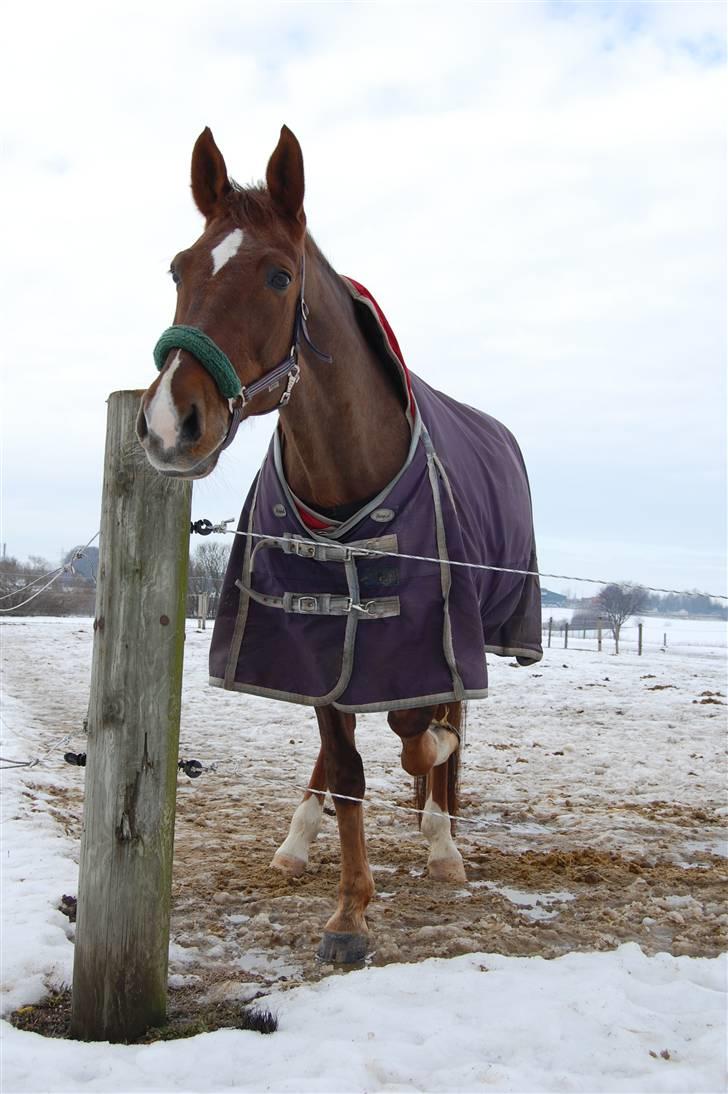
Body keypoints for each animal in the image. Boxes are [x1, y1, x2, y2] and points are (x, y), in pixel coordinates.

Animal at [139, 130, 542, 967]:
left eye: (278, 274)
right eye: (179, 269)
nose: (168, 423)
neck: (344, 490)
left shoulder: (430, 641)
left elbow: (420, 736)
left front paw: (432, 802)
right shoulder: (319, 640)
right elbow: (350, 766)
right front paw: (351, 913)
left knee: (447, 719)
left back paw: (442, 839)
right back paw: (301, 839)